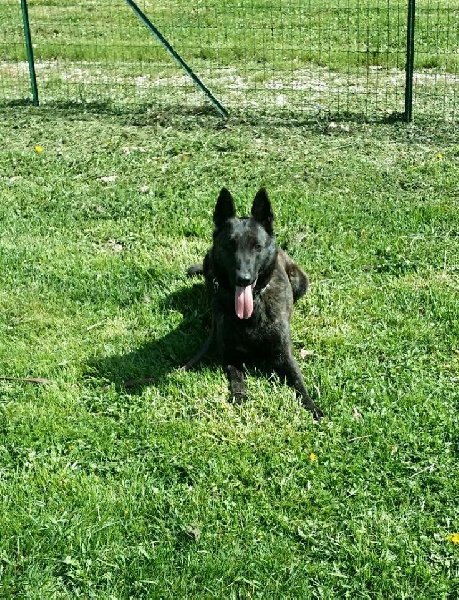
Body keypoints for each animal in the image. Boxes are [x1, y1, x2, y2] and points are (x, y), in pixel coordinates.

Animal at [186, 187, 323, 420]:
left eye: (257, 246)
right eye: (230, 245)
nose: (244, 279)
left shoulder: (284, 356)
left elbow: (299, 383)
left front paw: (312, 407)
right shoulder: (230, 356)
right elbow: (236, 379)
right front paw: (239, 397)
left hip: (301, 283)